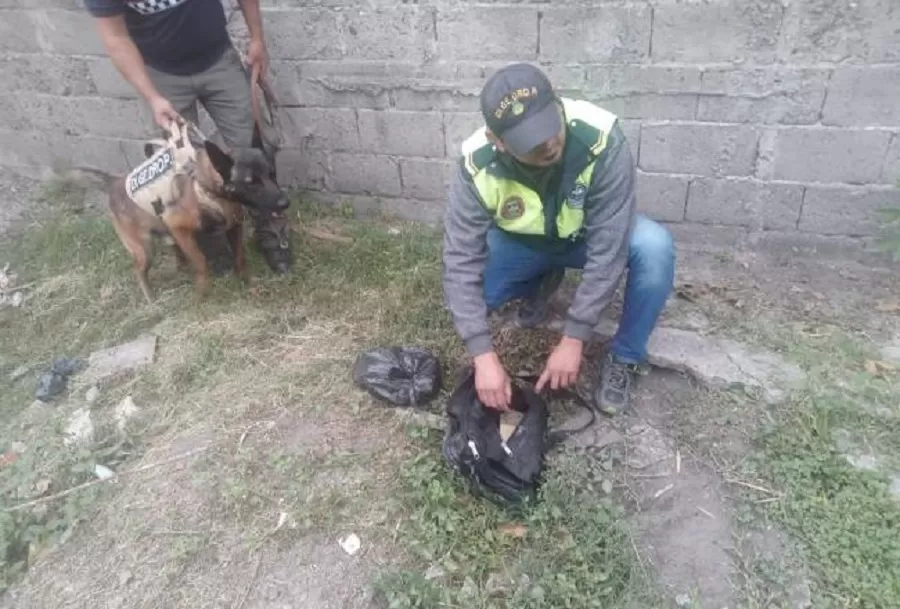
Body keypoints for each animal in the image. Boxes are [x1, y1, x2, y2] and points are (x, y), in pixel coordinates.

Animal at [107, 121, 286, 304]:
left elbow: (239, 255)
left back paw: (181, 267)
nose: (285, 203)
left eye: (272, 174)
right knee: (138, 269)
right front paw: (203, 292)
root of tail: (112, 186)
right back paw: (150, 296)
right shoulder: (179, 228)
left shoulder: (234, 227)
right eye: (251, 183)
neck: (208, 187)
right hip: (145, 250)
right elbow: (201, 261)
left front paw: (243, 279)